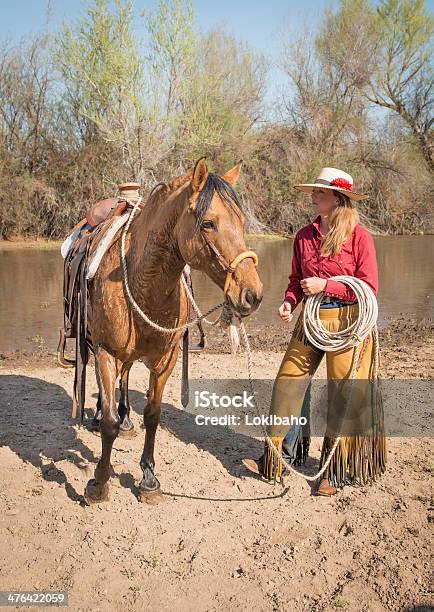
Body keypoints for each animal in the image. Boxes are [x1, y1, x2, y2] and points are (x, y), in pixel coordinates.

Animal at [83, 158, 262, 502]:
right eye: (208, 223)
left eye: (242, 221)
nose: (252, 294)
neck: (142, 283)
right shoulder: (105, 352)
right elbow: (109, 423)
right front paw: (99, 481)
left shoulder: (166, 360)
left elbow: (153, 416)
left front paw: (148, 477)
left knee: (126, 379)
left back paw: (127, 420)